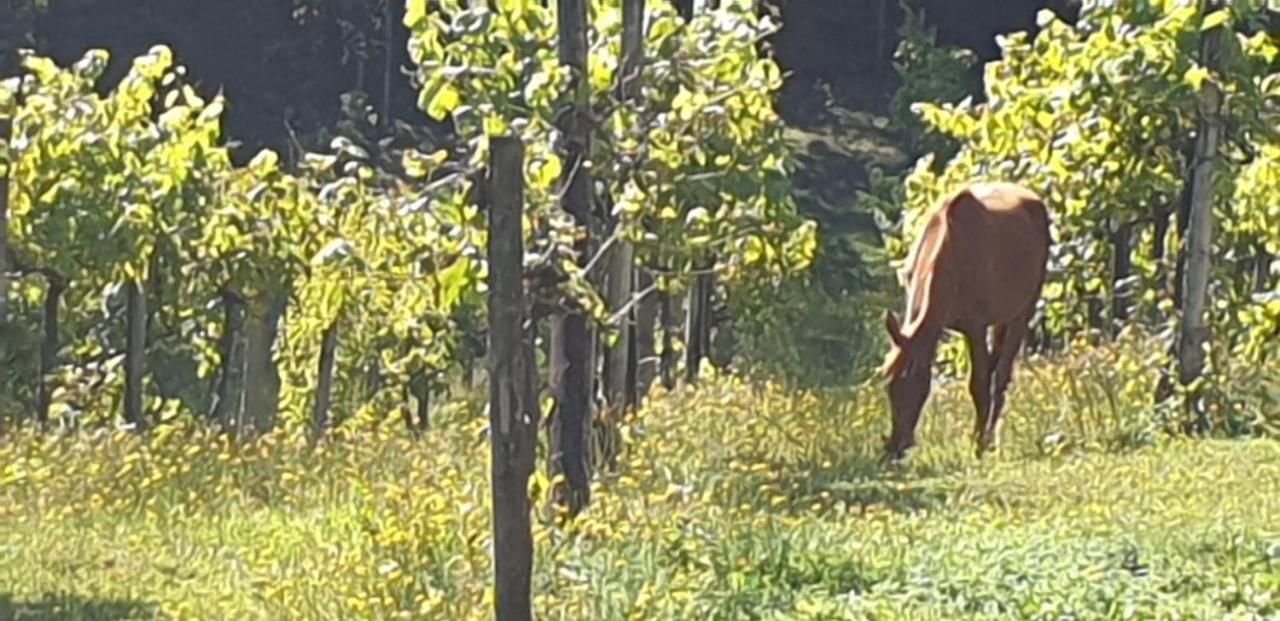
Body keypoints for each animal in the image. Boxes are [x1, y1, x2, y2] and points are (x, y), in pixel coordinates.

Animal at [880, 181, 1049, 458]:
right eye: (890, 385)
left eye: (914, 383)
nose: (896, 447)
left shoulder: (975, 326)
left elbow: (979, 384)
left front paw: (977, 445)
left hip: (1023, 310)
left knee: (1001, 376)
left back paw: (990, 440)